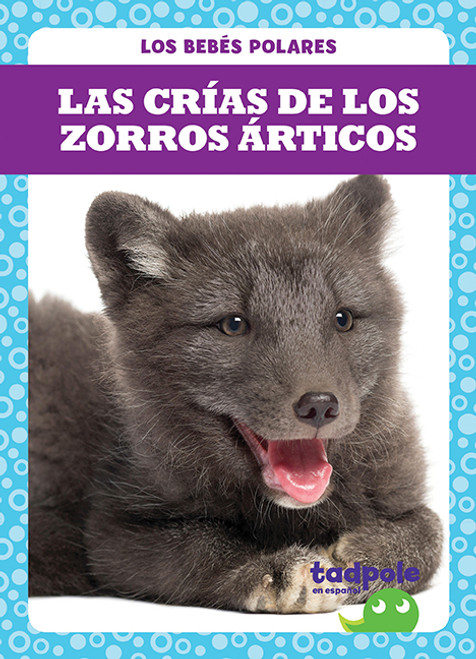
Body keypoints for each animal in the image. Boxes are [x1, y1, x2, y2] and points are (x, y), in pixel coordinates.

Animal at [29, 175, 442, 613]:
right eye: (233, 324)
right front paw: (272, 569)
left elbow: (433, 529)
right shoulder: (111, 532)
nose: (320, 405)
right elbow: (197, 543)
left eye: (343, 318)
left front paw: (364, 557)